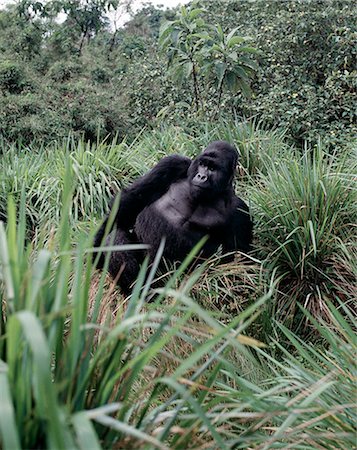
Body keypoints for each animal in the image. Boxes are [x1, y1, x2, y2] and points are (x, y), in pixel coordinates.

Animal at [93, 142, 252, 296]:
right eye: (202, 164)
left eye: (212, 168)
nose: (201, 176)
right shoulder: (173, 163)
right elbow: (131, 201)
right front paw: (95, 252)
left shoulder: (239, 210)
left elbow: (235, 264)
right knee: (116, 237)